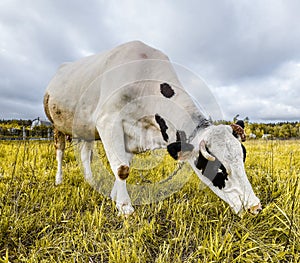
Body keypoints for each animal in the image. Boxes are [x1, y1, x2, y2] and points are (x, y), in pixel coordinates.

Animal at [43, 40, 262, 217]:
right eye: (219, 169)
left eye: (242, 160)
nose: (255, 207)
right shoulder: (108, 121)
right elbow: (121, 169)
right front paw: (125, 207)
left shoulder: (132, 134)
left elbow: (124, 165)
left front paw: (114, 196)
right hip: (56, 125)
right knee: (60, 152)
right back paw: (58, 180)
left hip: (85, 129)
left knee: (85, 154)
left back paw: (90, 181)